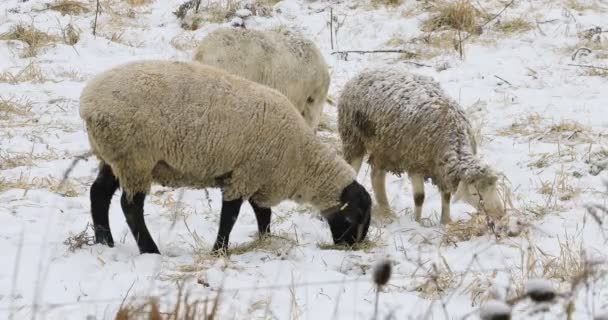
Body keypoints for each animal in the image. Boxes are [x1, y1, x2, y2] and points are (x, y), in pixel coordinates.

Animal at [79, 60, 370, 255]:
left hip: (114, 158)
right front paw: (219, 250)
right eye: (355, 216)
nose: (354, 245)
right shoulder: (245, 174)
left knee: (99, 194)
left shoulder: (257, 179)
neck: (301, 160)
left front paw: (264, 240)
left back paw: (105, 242)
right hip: (135, 158)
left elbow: (263, 214)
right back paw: (149, 250)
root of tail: (88, 102)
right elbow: (230, 217)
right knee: (130, 207)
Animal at [338, 67, 504, 224]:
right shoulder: (416, 164)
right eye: (476, 193)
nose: (499, 213)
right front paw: (417, 222)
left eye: (494, 188)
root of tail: (362, 73)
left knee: (377, 176)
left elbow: (446, 195)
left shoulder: (440, 168)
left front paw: (446, 221)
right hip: (353, 139)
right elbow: (419, 197)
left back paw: (387, 211)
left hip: (384, 148)